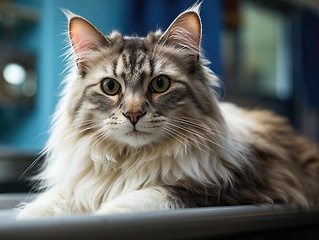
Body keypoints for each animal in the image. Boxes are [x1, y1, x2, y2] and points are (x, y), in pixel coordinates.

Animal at [16, 2, 319, 219]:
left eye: (160, 84)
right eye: (110, 87)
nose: (133, 115)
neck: (131, 161)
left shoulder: (222, 190)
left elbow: (143, 198)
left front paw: (102, 214)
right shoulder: (83, 187)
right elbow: (51, 203)